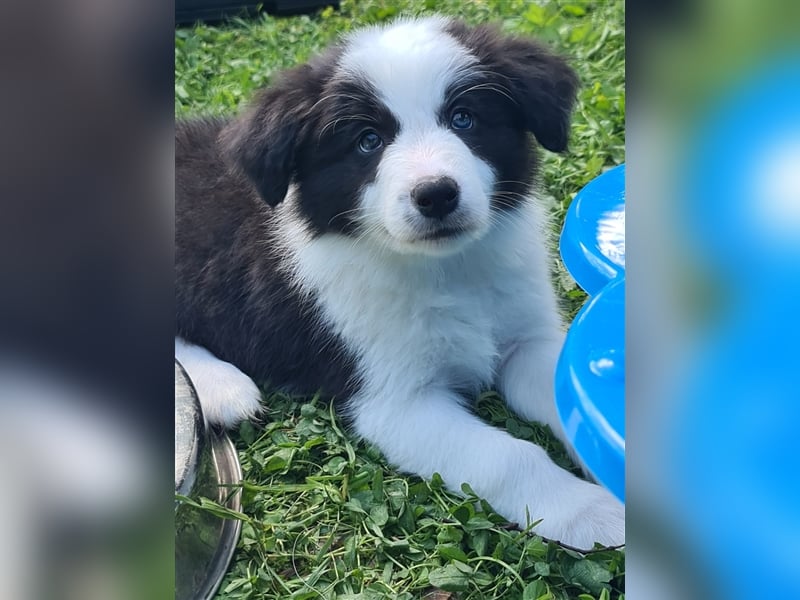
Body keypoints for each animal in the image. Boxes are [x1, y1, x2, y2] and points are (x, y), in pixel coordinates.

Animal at [175, 16, 624, 552]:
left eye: (464, 118)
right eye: (368, 140)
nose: (436, 195)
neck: (447, 270)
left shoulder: (527, 338)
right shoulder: (395, 400)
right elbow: (507, 457)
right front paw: (588, 511)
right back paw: (222, 388)